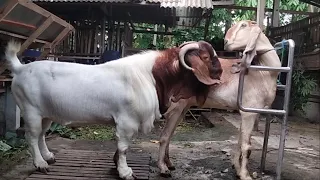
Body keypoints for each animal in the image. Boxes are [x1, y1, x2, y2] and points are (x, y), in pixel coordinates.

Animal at [3, 40, 222, 179]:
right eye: (206, 56)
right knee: (32, 136)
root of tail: (20, 68)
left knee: (41, 134)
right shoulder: (126, 121)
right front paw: (125, 172)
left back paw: (48, 156)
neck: (151, 75)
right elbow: (124, 147)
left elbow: (121, 147)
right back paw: (40, 164)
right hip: (31, 111)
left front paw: (116, 166)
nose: (221, 72)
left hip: (46, 113)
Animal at [159, 20, 282, 180]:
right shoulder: (249, 112)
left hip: (183, 107)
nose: (226, 42)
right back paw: (163, 168)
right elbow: (247, 146)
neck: (263, 71)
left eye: (244, 25)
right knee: (165, 136)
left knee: (170, 134)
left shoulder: (247, 111)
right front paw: (245, 175)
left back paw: (169, 164)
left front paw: (237, 169)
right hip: (176, 105)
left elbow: (240, 141)